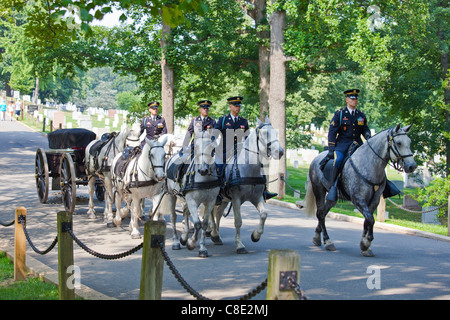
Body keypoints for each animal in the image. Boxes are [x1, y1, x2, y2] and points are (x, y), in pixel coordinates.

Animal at [162, 130, 220, 258]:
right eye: (196, 147)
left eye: (212, 148)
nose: (203, 170)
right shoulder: (192, 200)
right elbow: (197, 223)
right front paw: (191, 243)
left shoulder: (210, 202)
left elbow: (204, 224)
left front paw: (202, 248)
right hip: (172, 195)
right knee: (173, 217)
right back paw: (176, 242)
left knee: (185, 212)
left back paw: (184, 237)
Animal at [211, 116, 284, 254]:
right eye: (265, 133)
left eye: (276, 133)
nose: (280, 152)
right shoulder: (236, 199)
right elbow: (238, 221)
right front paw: (239, 245)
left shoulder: (257, 198)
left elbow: (264, 214)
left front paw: (255, 235)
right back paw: (210, 232)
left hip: (224, 200)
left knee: (217, 214)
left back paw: (216, 235)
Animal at [302, 124, 418, 256]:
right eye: (398, 143)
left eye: (409, 142)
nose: (412, 166)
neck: (370, 165)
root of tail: (317, 157)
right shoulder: (358, 199)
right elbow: (370, 219)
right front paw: (366, 242)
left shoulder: (374, 200)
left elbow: (367, 220)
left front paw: (365, 246)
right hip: (319, 191)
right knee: (320, 213)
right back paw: (327, 241)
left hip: (332, 198)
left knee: (323, 213)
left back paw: (317, 236)